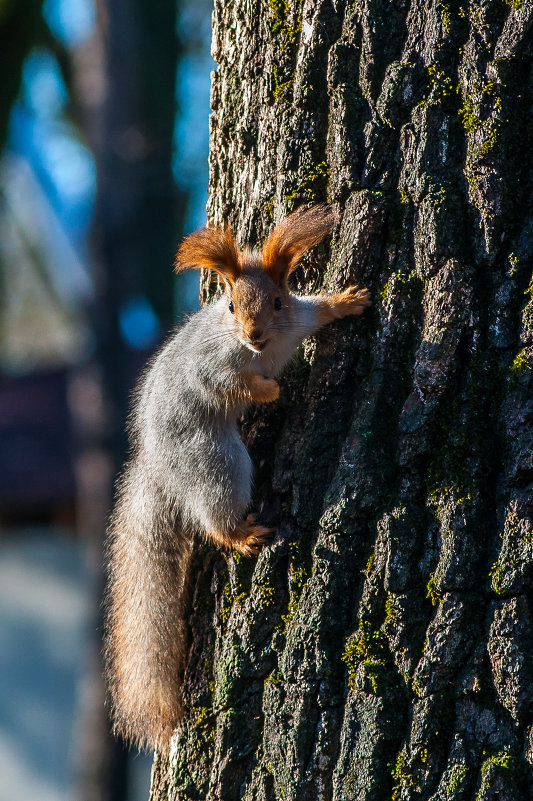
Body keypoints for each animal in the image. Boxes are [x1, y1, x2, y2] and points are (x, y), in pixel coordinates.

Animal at [104, 205, 370, 752]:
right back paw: (242, 535)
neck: (261, 350)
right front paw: (267, 391)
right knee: (215, 515)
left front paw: (346, 301)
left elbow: (316, 313)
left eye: (277, 300)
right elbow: (228, 384)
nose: (253, 334)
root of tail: (158, 465)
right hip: (216, 462)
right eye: (229, 305)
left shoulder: (296, 321)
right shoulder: (213, 366)